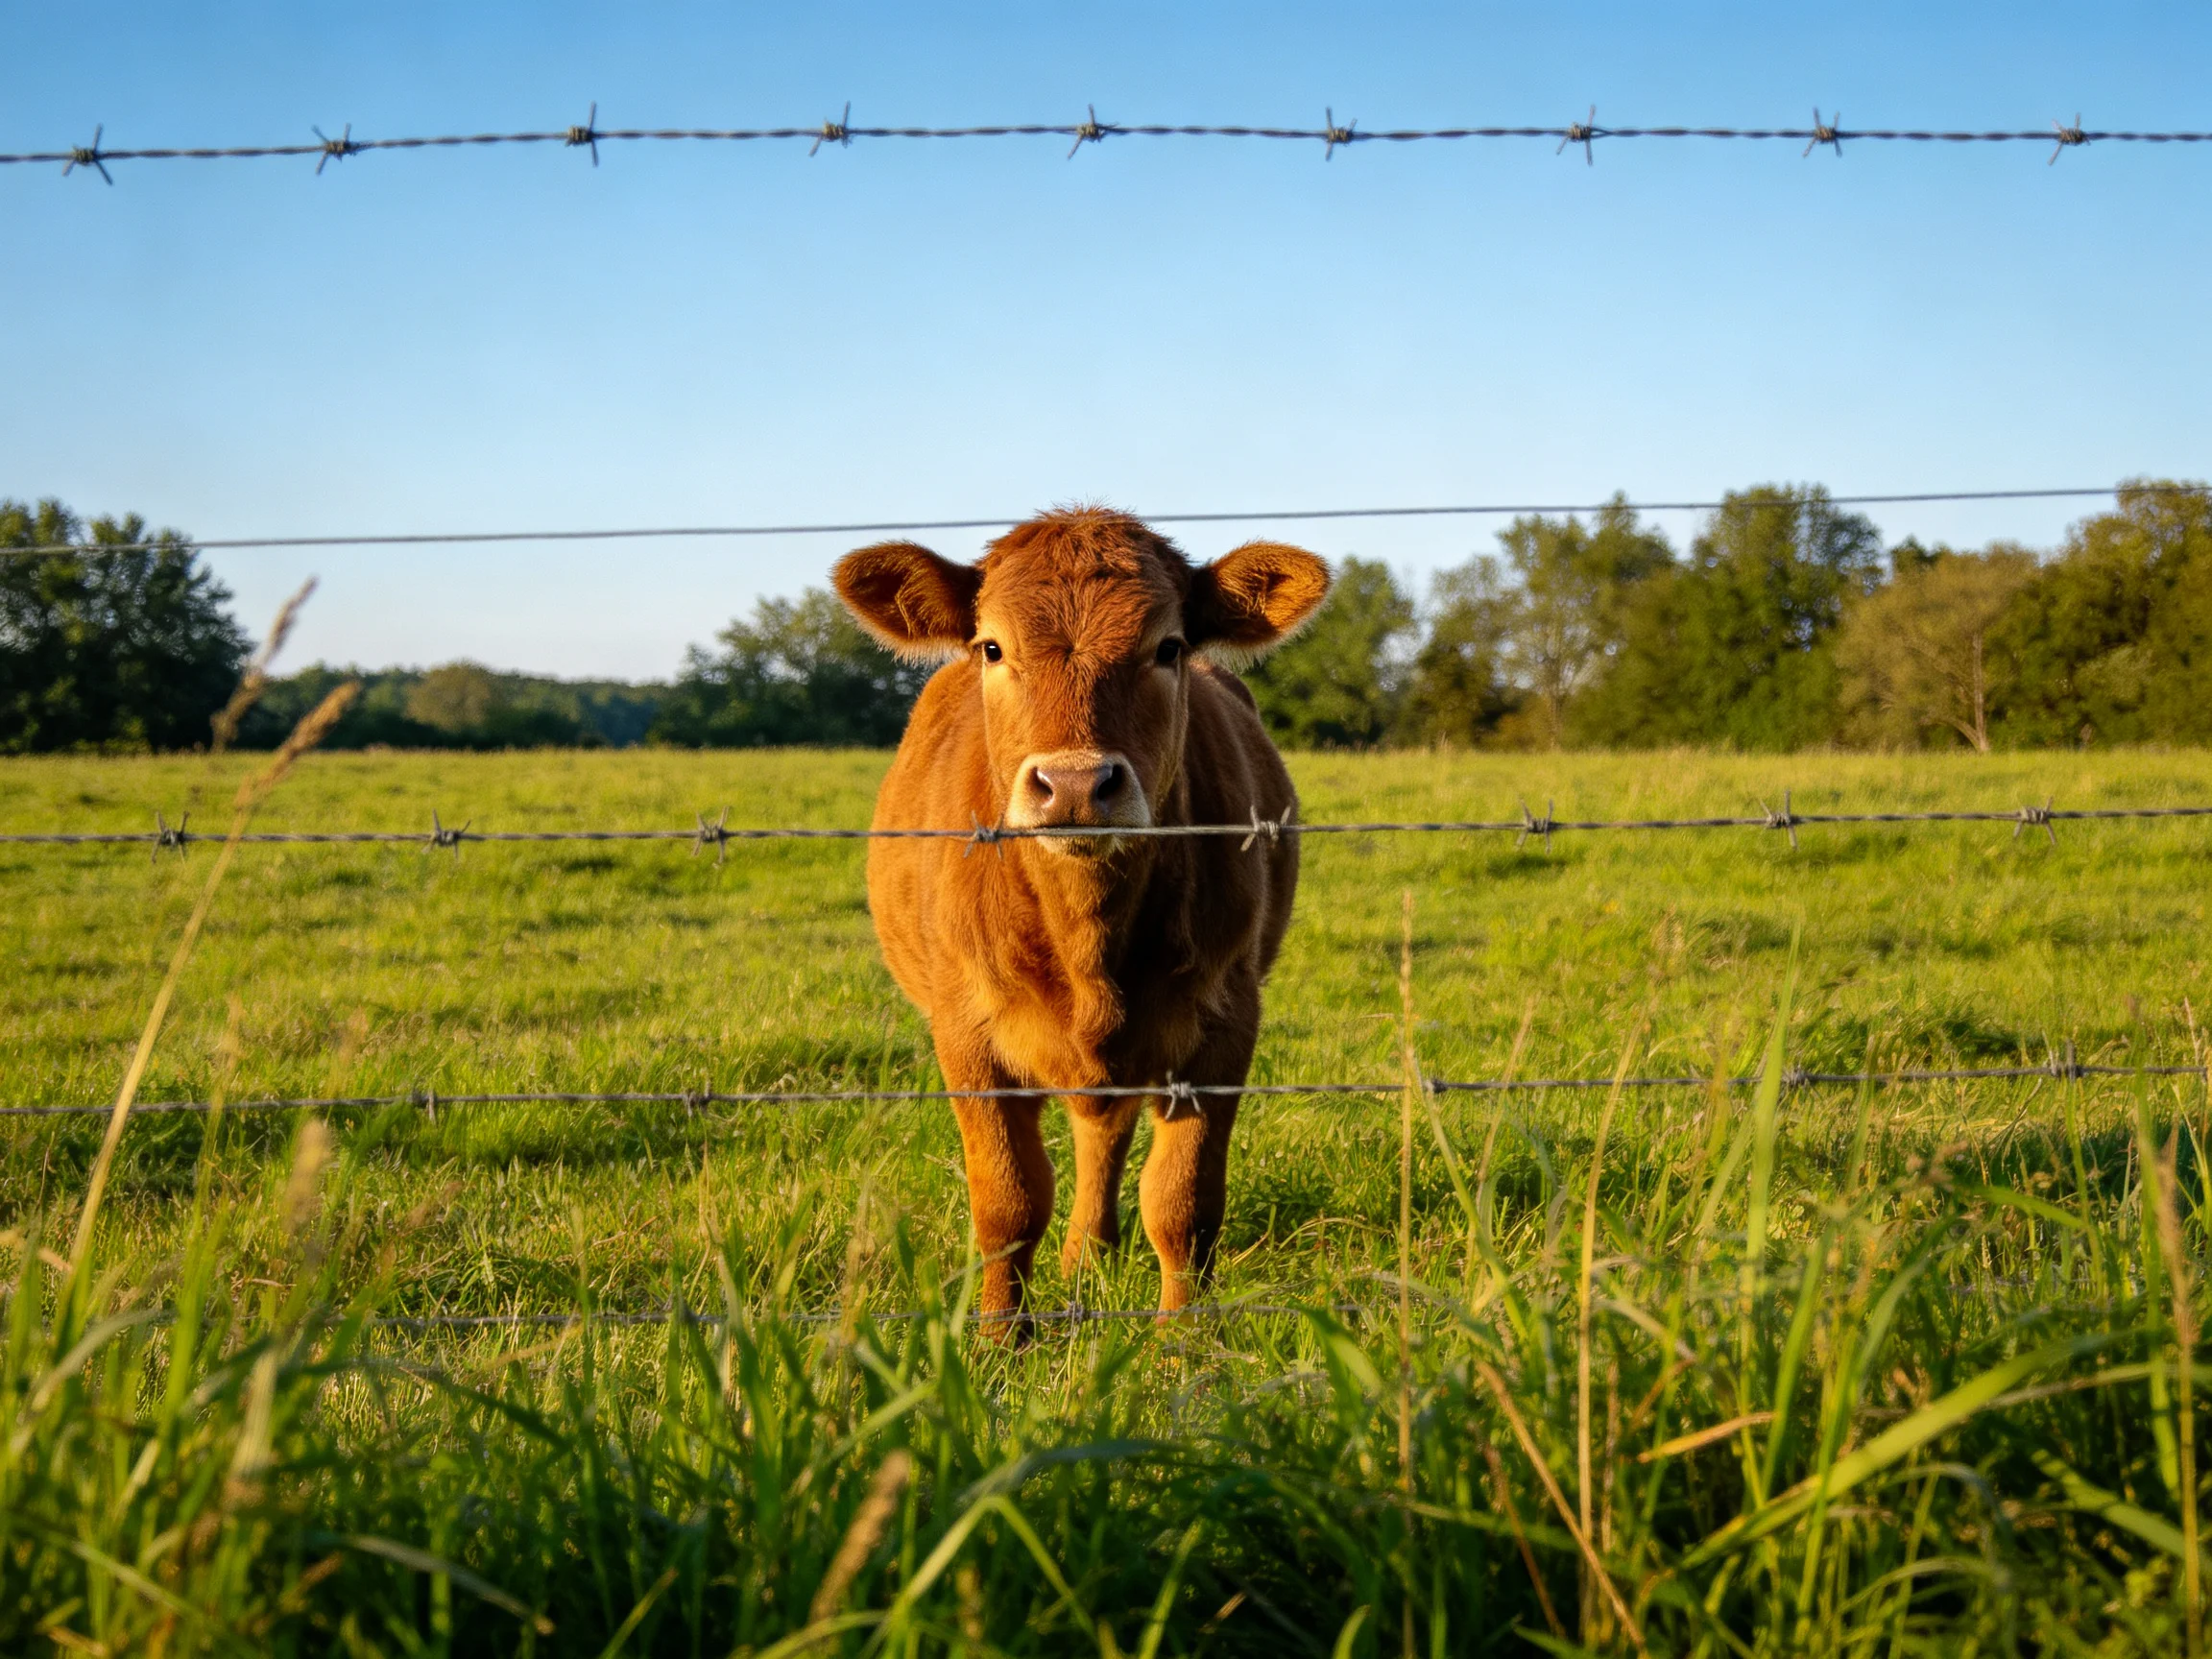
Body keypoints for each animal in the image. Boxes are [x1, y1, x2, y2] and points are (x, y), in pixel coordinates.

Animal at [832, 507, 1330, 1329]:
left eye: (1168, 647)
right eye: (992, 646)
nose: (1073, 784)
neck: (1087, 934)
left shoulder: (1225, 1021)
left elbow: (1183, 1203)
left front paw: (1181, 1340)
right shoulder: (965, 1033)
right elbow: (1007, 1202)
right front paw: (1001, 1339)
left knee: (1108, 1130)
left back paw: (1091, 1254)